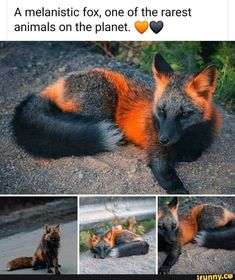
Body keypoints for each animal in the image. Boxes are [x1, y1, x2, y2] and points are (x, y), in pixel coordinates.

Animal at [12, 53, 221, 192]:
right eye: (162, 111)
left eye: (183, 114)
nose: (163, 139)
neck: (187, 139)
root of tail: (61, 81)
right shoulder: (155, 152)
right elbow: (168, 177)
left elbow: (195, 153)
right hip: (100, 106)